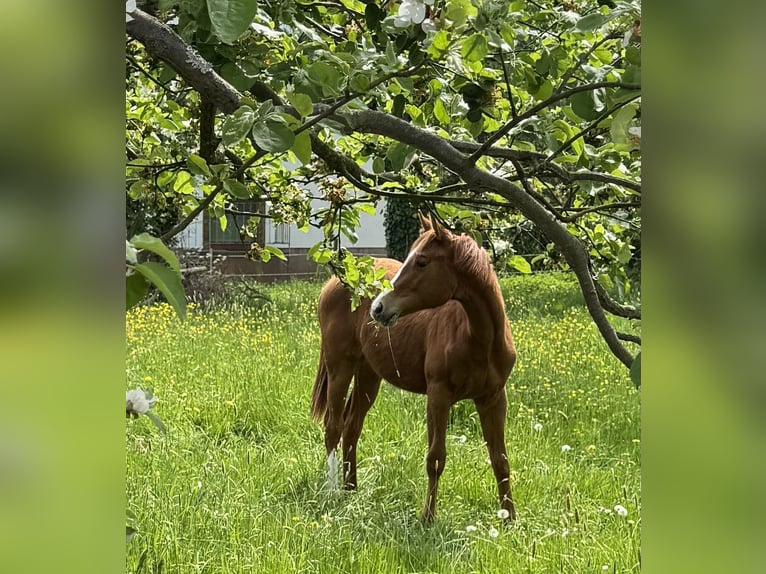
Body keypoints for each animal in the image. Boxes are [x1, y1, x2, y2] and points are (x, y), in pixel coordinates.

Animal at [310, 213, 517, 522]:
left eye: (422, 261)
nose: (378, 307)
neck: (478, 337)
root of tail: (337, 279)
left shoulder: (493, 397)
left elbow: (500, 460)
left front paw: (510, 519)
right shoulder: (438, 396)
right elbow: (435, 458)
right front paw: (428, 518)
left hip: (368, 374)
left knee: (351, 426)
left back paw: (351, 489)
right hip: (340, 367)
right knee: (333, 427)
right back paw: (333, 492)